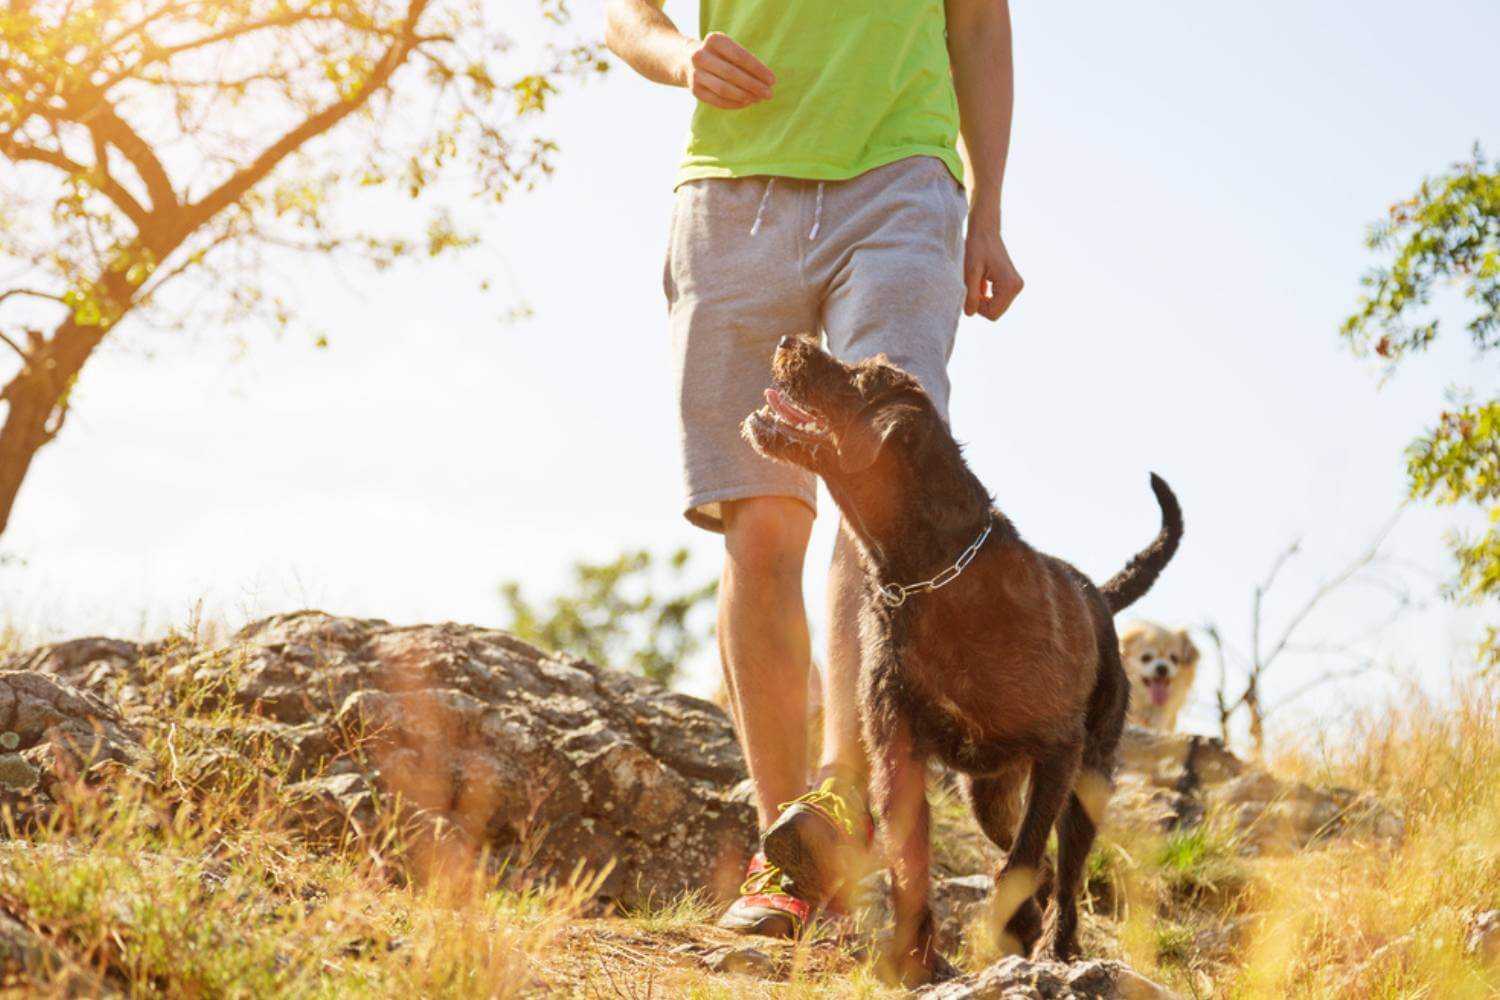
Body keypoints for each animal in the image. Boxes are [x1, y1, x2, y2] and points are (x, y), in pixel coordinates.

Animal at [741, 338, 1182, 983]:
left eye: (863, 378)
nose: (788, 343)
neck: (933, 575)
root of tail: (1098, 595)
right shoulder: (896, 752)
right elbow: (911, 865)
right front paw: (914, 960)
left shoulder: (1059, 749)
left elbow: (1022, 863)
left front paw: (1013, 928)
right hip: (990, 796)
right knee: (1033, 855)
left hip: (1088, 779)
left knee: (1063, 870)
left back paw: (1056, 947)